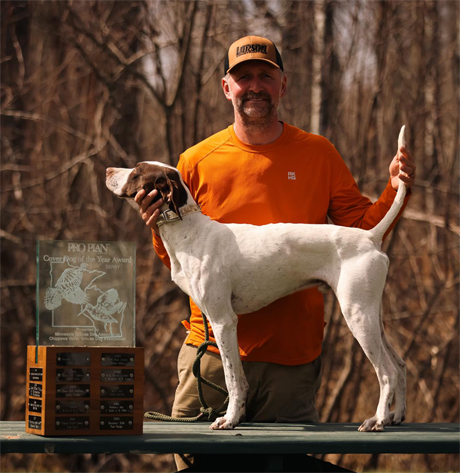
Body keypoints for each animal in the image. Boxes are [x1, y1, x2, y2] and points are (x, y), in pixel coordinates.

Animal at [106, 127, 408, 432]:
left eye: (137, 171)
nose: (107, 170)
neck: (189, 230)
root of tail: (370, 236)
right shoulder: (221, 323)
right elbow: (240, 379)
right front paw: (237, 416)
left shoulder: (223, 321)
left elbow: (232, 379)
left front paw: (228, 420)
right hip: (371, 316)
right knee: (400, 365)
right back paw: (395, 416)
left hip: (357, 316)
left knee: (387, 372)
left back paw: (377, 420)